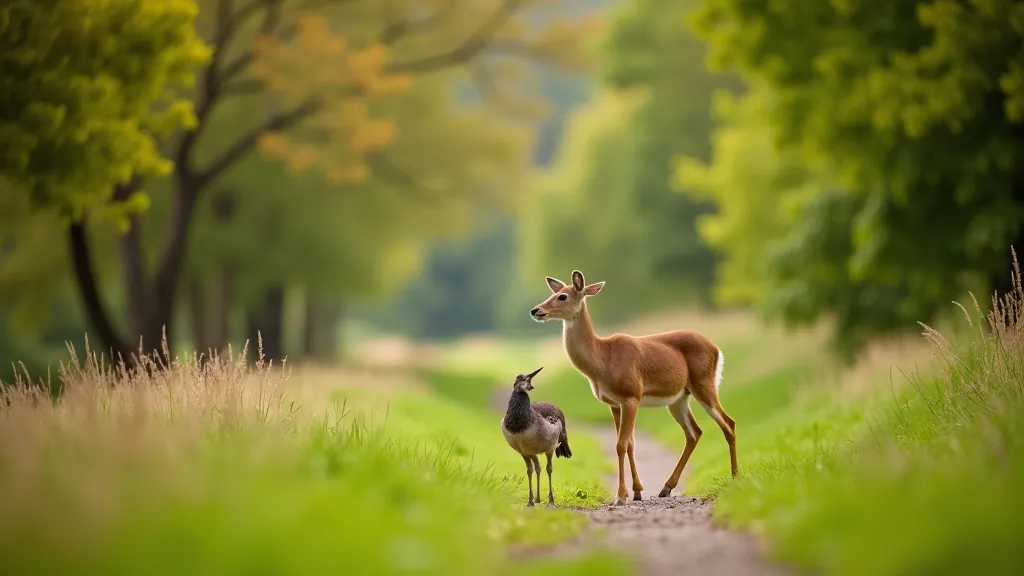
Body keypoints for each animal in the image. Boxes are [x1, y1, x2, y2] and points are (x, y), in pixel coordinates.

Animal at [530, 270, 737, 506]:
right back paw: (666, 487)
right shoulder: (613, 403)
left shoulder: (631, 396)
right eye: (553, 293)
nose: (536, 310)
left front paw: (621, 496)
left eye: (562, 296)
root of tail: (717, 348)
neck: (601, 360)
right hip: (679, 399)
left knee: (728, 423)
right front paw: (637, 491)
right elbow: (629, 443)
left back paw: (734, 477)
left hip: (704, 383)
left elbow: (621, 444)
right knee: (695, 433)